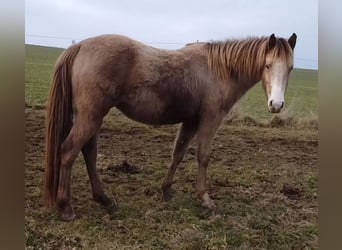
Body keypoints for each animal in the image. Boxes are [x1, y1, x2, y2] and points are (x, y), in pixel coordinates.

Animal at [44, 32, 296, 221]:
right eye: (267, 65)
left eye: (291, 68)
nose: (276, 105)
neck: (218, 70)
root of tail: (80, 46)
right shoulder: (210, 119)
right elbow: (203, 156)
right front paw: (204, 198)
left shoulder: (191, 121)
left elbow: (178, 153)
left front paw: (166, 191)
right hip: (91, 116)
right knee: (69, 151)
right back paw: (66, 207)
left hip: (92, 117)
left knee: (89, 152)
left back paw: (104, 199)